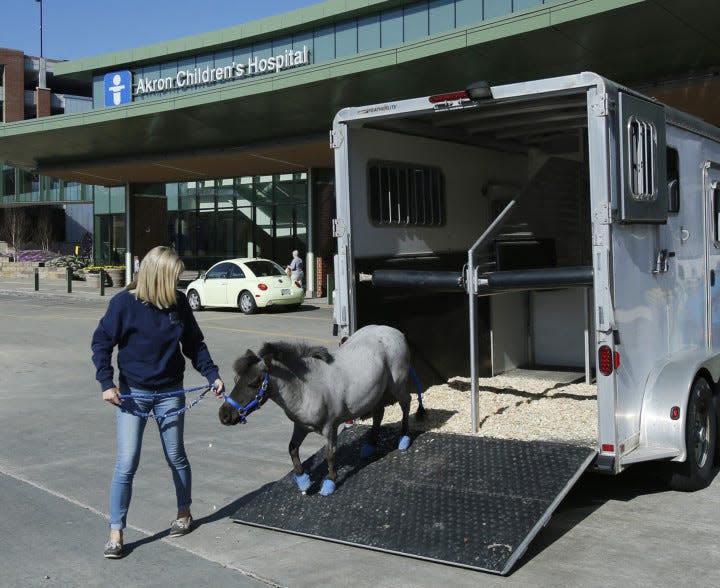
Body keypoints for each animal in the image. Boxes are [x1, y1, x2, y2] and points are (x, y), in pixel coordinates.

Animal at [218, 326, 422, 496]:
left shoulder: (330, 428)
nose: (224, 415)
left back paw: (404, 438)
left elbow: (330, 454)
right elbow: (292, 448)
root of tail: (396, 332)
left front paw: (329, 483)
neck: (307, 388)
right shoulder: (301, 427)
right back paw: (370, 445)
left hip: (397, 384)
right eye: (236, 379)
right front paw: (303, 481)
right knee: (379, 413)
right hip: (377, 392)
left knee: (406, 403)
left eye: (254, 383)